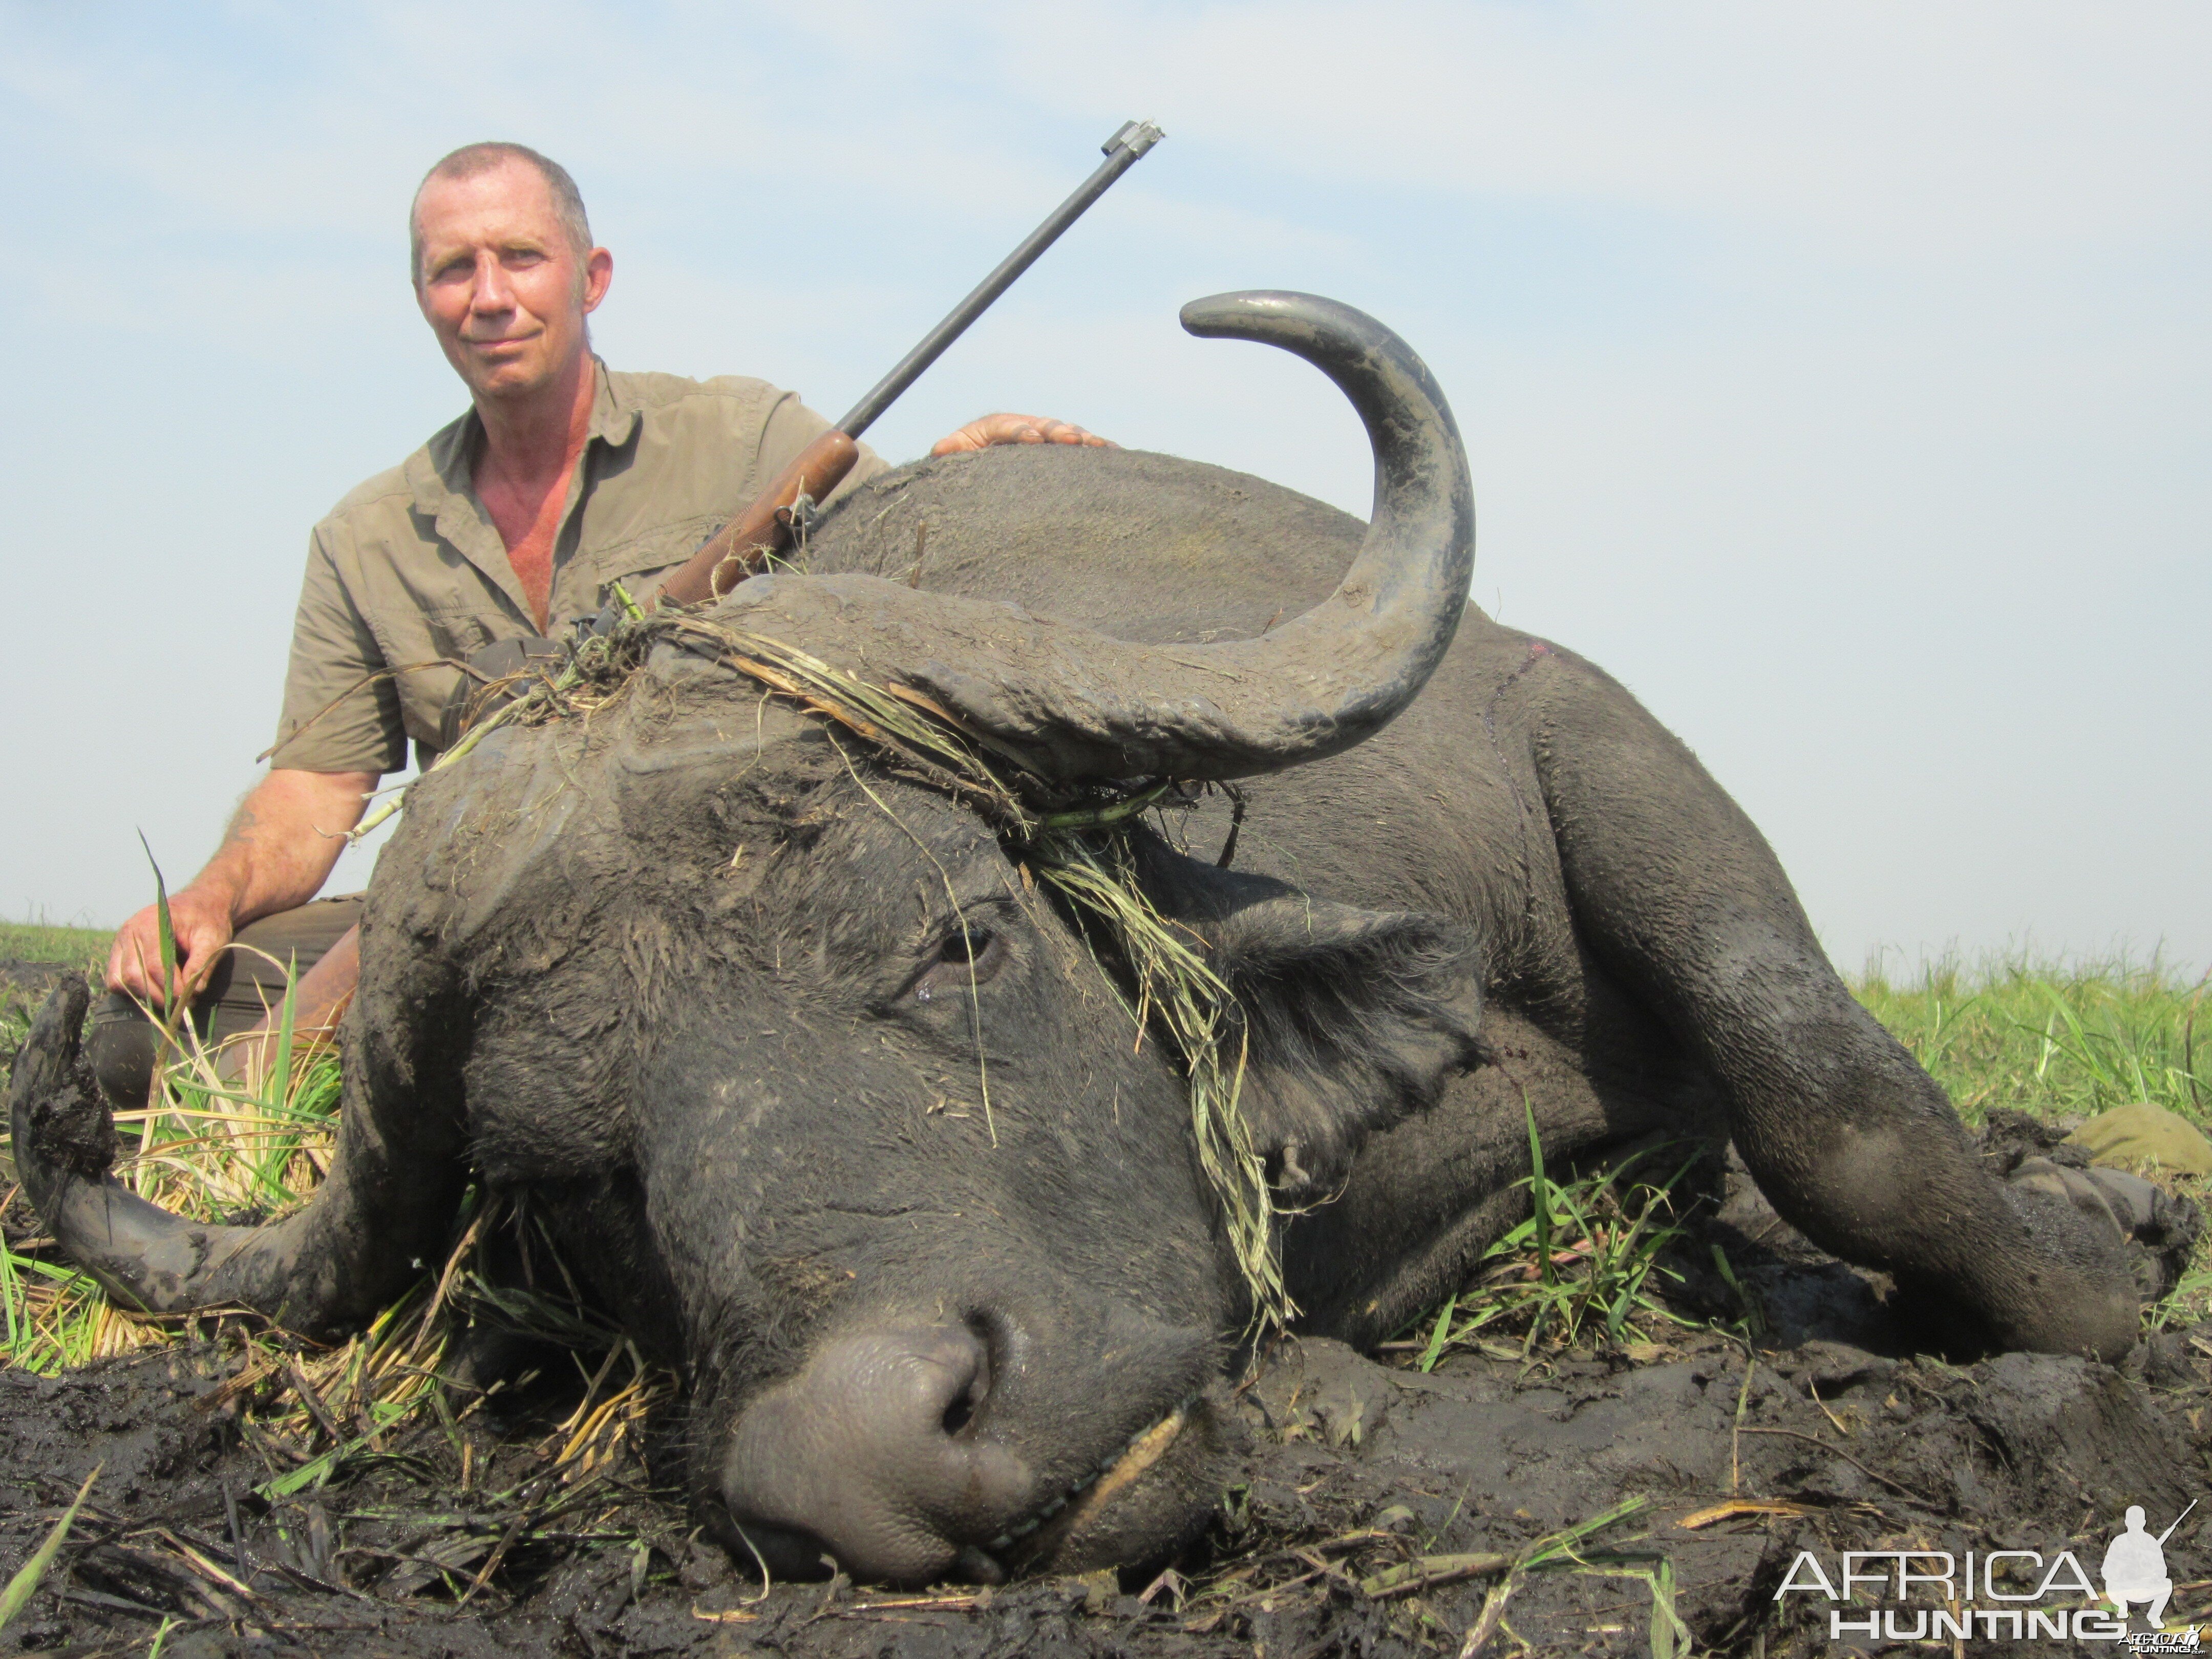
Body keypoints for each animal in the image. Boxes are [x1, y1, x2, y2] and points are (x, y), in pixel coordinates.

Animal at [4, 292, 2159, 1592]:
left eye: (964, 937)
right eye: (577, 1182)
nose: (868, 1451)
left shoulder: (1577, 728)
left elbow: (1833, 1101)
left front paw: (2103, 1279)